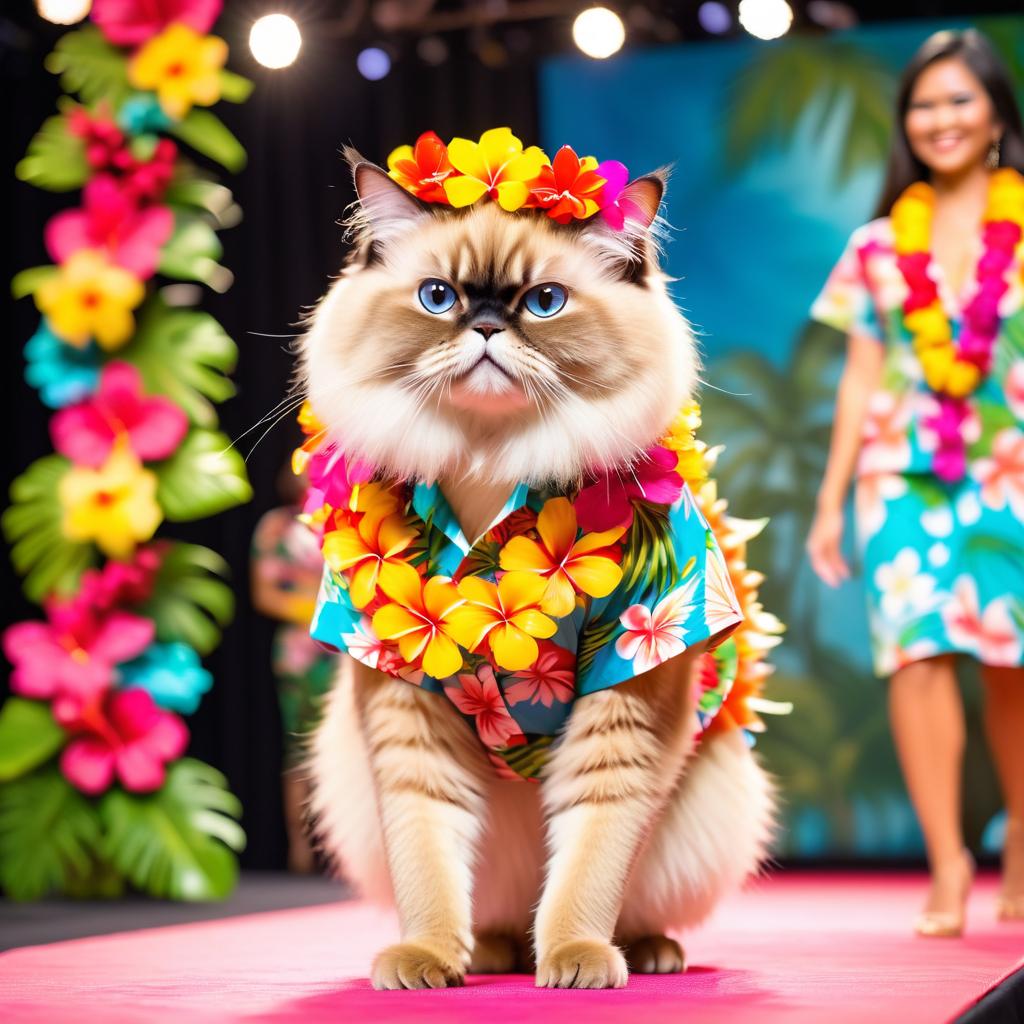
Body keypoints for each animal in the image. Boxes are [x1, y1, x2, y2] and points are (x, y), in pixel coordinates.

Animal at [299, 148, 770, 987]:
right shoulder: (404, 704)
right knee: (498, 917)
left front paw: (578, 960)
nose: (487, 326)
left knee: (615, 905)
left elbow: (590, 864)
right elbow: (426, 857)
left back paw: (644, 953)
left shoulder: (632, 684)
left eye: (544, 303)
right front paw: (426, 960)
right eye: (438, 297)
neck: (492, 472)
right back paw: (489, 955)